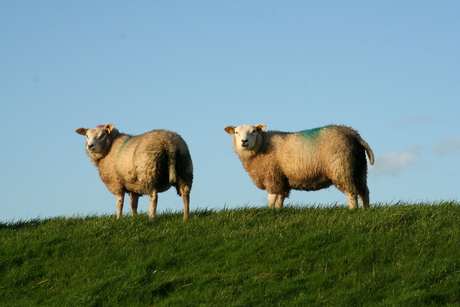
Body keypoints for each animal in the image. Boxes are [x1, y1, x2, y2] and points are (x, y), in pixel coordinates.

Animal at [225, 123, 376, 209]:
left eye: (254, 131)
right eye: (237, 132)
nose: (244, 141)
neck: (261, 145)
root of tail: (353, 134)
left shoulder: (272, 176)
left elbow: (271, 198)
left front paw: (269, 211)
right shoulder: (282, 179)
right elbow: (280, 198)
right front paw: (278, 211)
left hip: (341, 167)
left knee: (351, 191)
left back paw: (353, 209)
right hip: (359, 168)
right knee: (364, 191)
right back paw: (365, 210)